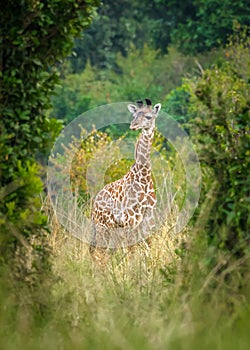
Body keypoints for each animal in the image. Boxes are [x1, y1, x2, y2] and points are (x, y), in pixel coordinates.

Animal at [91, 98, 161, 254]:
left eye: (149, 117)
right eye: (134, 115)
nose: (133, 125)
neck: (144, 177)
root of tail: (95, 202)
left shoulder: (149, 218)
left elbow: (147, 247)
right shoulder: (131, 219)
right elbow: (132, 249)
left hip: (112, 227)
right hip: (102, 226)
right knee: (99, 253)